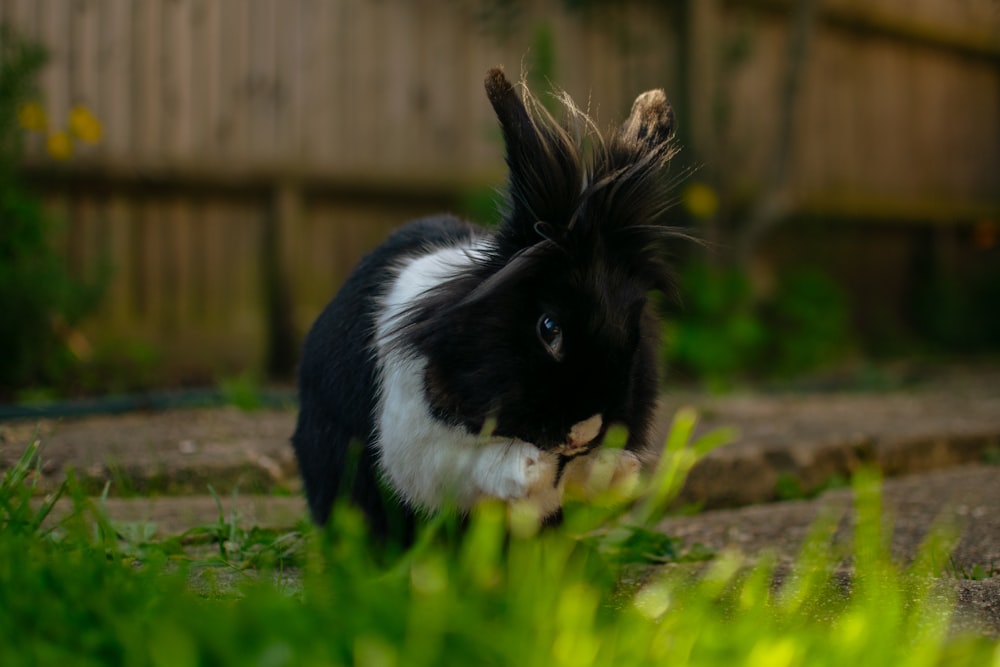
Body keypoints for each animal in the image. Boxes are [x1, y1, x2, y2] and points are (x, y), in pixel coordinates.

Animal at [290, 65, 680, 540]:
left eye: (633, 332)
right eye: (549, 328)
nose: (584, 431)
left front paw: (613, 470)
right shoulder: (415, 442)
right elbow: (475, 464)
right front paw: (531, 467)